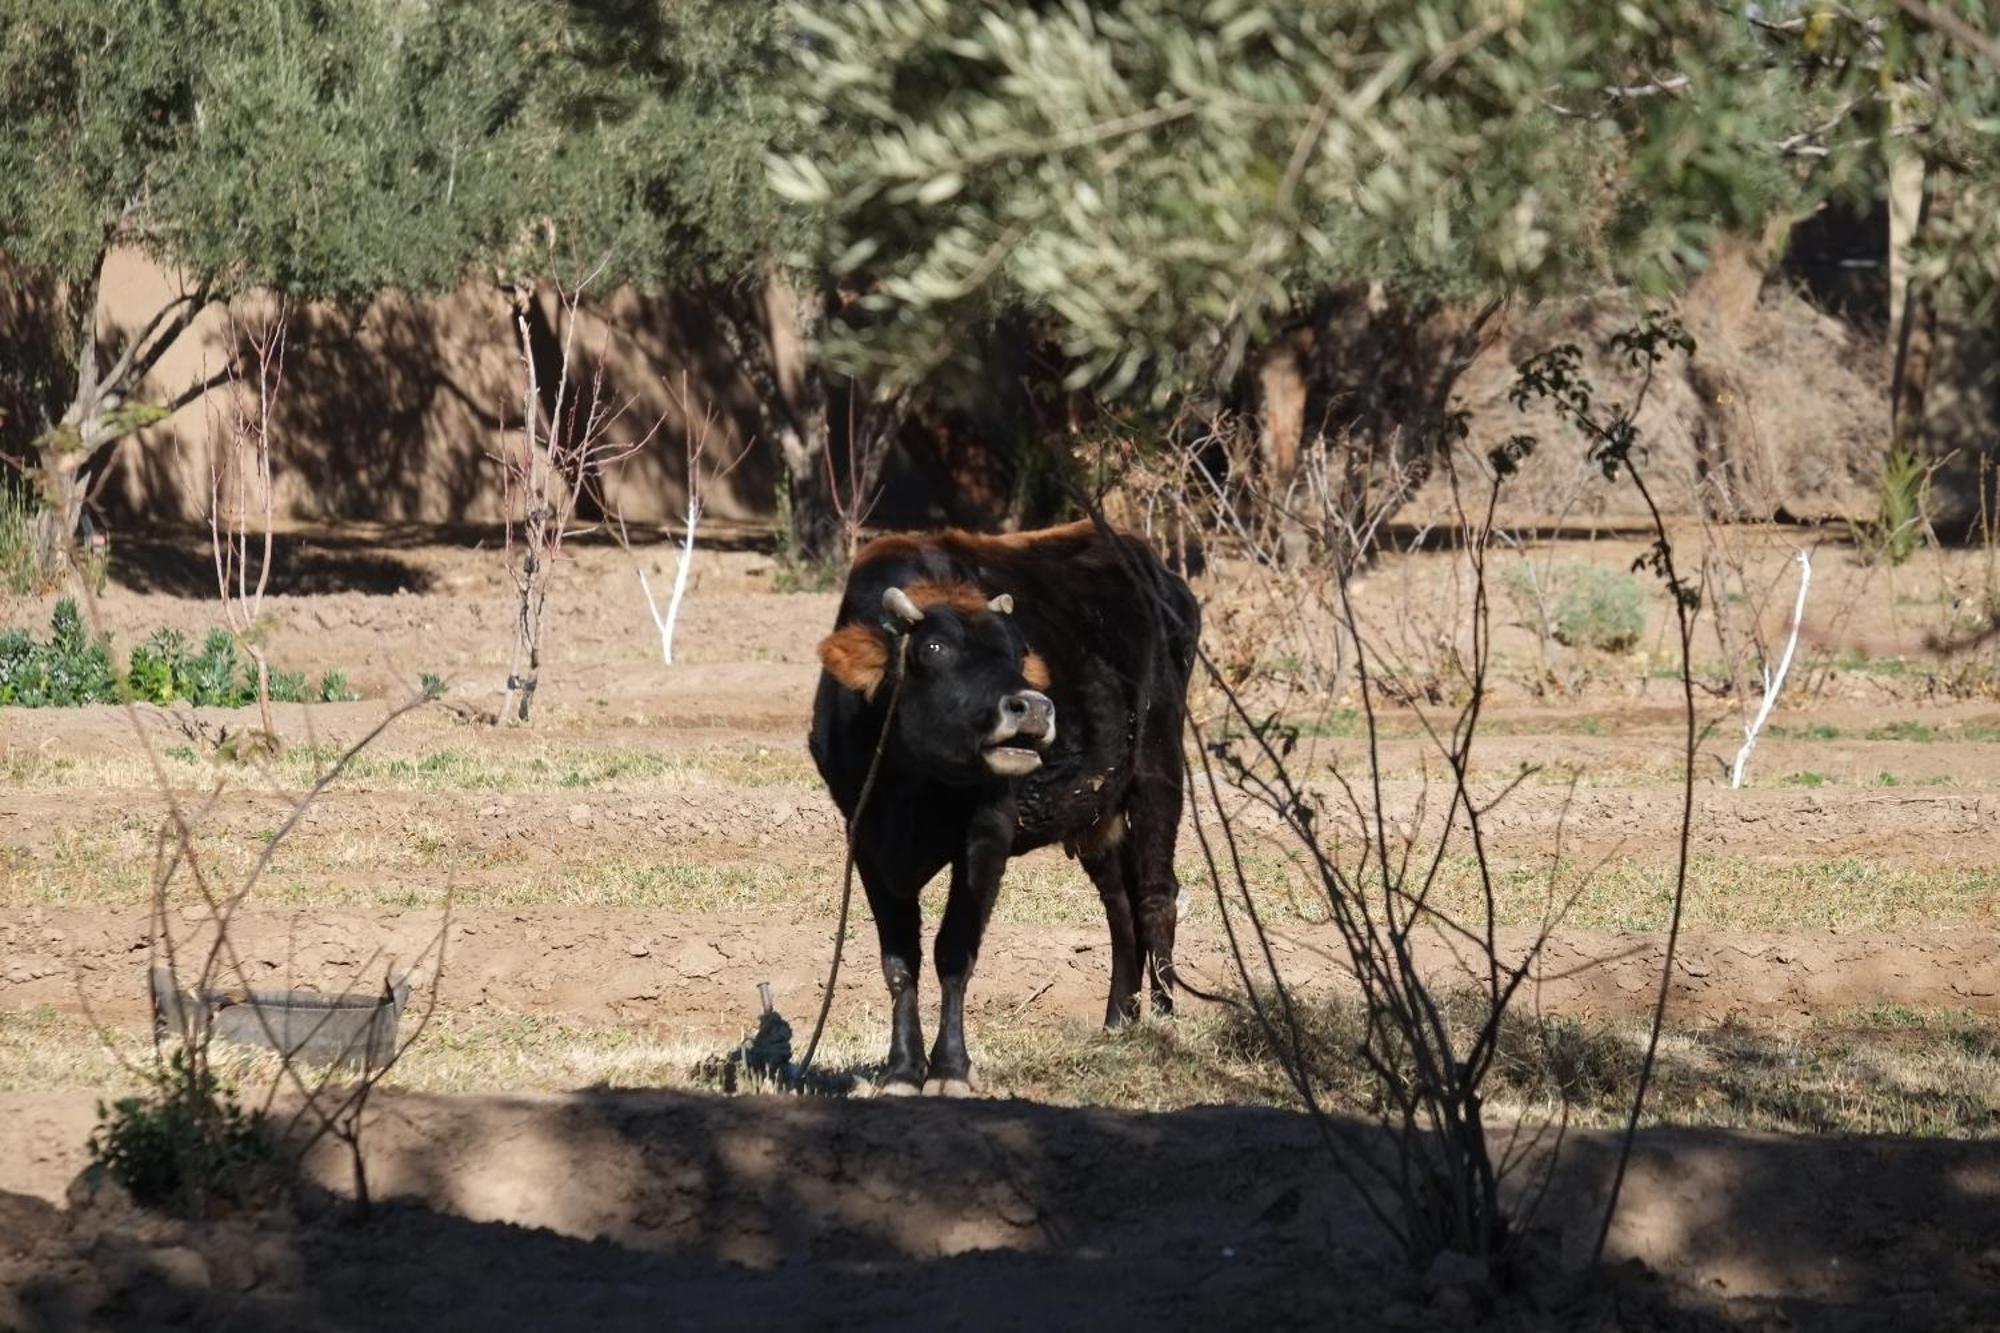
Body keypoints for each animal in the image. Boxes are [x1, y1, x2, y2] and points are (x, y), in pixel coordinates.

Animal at [812, 520, 1200, 1088]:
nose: (1034, 707)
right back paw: (1118, 1020)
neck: (910, 785)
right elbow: (898, 962)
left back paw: (1167, 1018)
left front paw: (950, 1068)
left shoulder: (988, 832)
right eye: (932, 647)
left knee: (1156, 895)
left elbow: (954, 951)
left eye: (1017, 652)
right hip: (1097, 808)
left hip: (1158, 770)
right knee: (1120, 905)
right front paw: (902, 1068)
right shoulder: (865, 839)